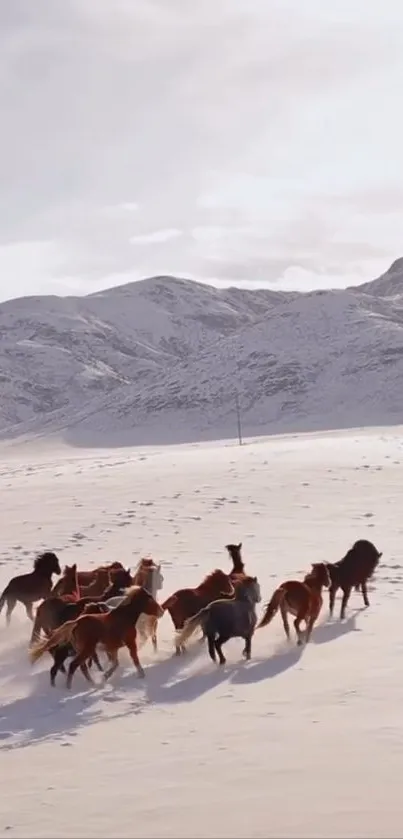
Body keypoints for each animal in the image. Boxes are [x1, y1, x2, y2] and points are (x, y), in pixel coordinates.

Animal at [29, 584, 166, 688]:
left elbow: (115, 664)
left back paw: (90, 683)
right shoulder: (130, 643)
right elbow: (134, 658)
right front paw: (141, 674)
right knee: (73, 665)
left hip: (82, 650)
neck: (124, 617)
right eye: (149, 598)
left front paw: (105, 676)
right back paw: (70, 686)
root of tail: (77, 622)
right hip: (86, 650)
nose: (161, 611)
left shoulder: (113, 648)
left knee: (81, 667)